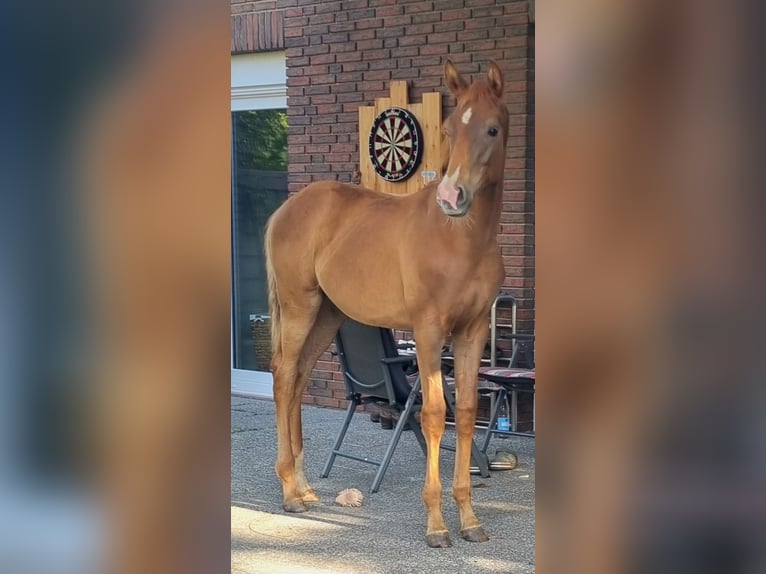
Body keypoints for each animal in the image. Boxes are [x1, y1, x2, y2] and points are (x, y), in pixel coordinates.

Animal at [264, 58, 510, 548]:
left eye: (492, 129)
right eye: (449, 129)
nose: (451, 197)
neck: (460, 238)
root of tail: (285, 210)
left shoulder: (472, 332)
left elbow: (467, 413)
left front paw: (470, 519)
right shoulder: (429, 331)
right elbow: (434, 414)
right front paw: (436, 525)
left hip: (328, 316)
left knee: (298, 379)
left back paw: (303, 486)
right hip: (300, 307)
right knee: (283, 376)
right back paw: (289, 493)